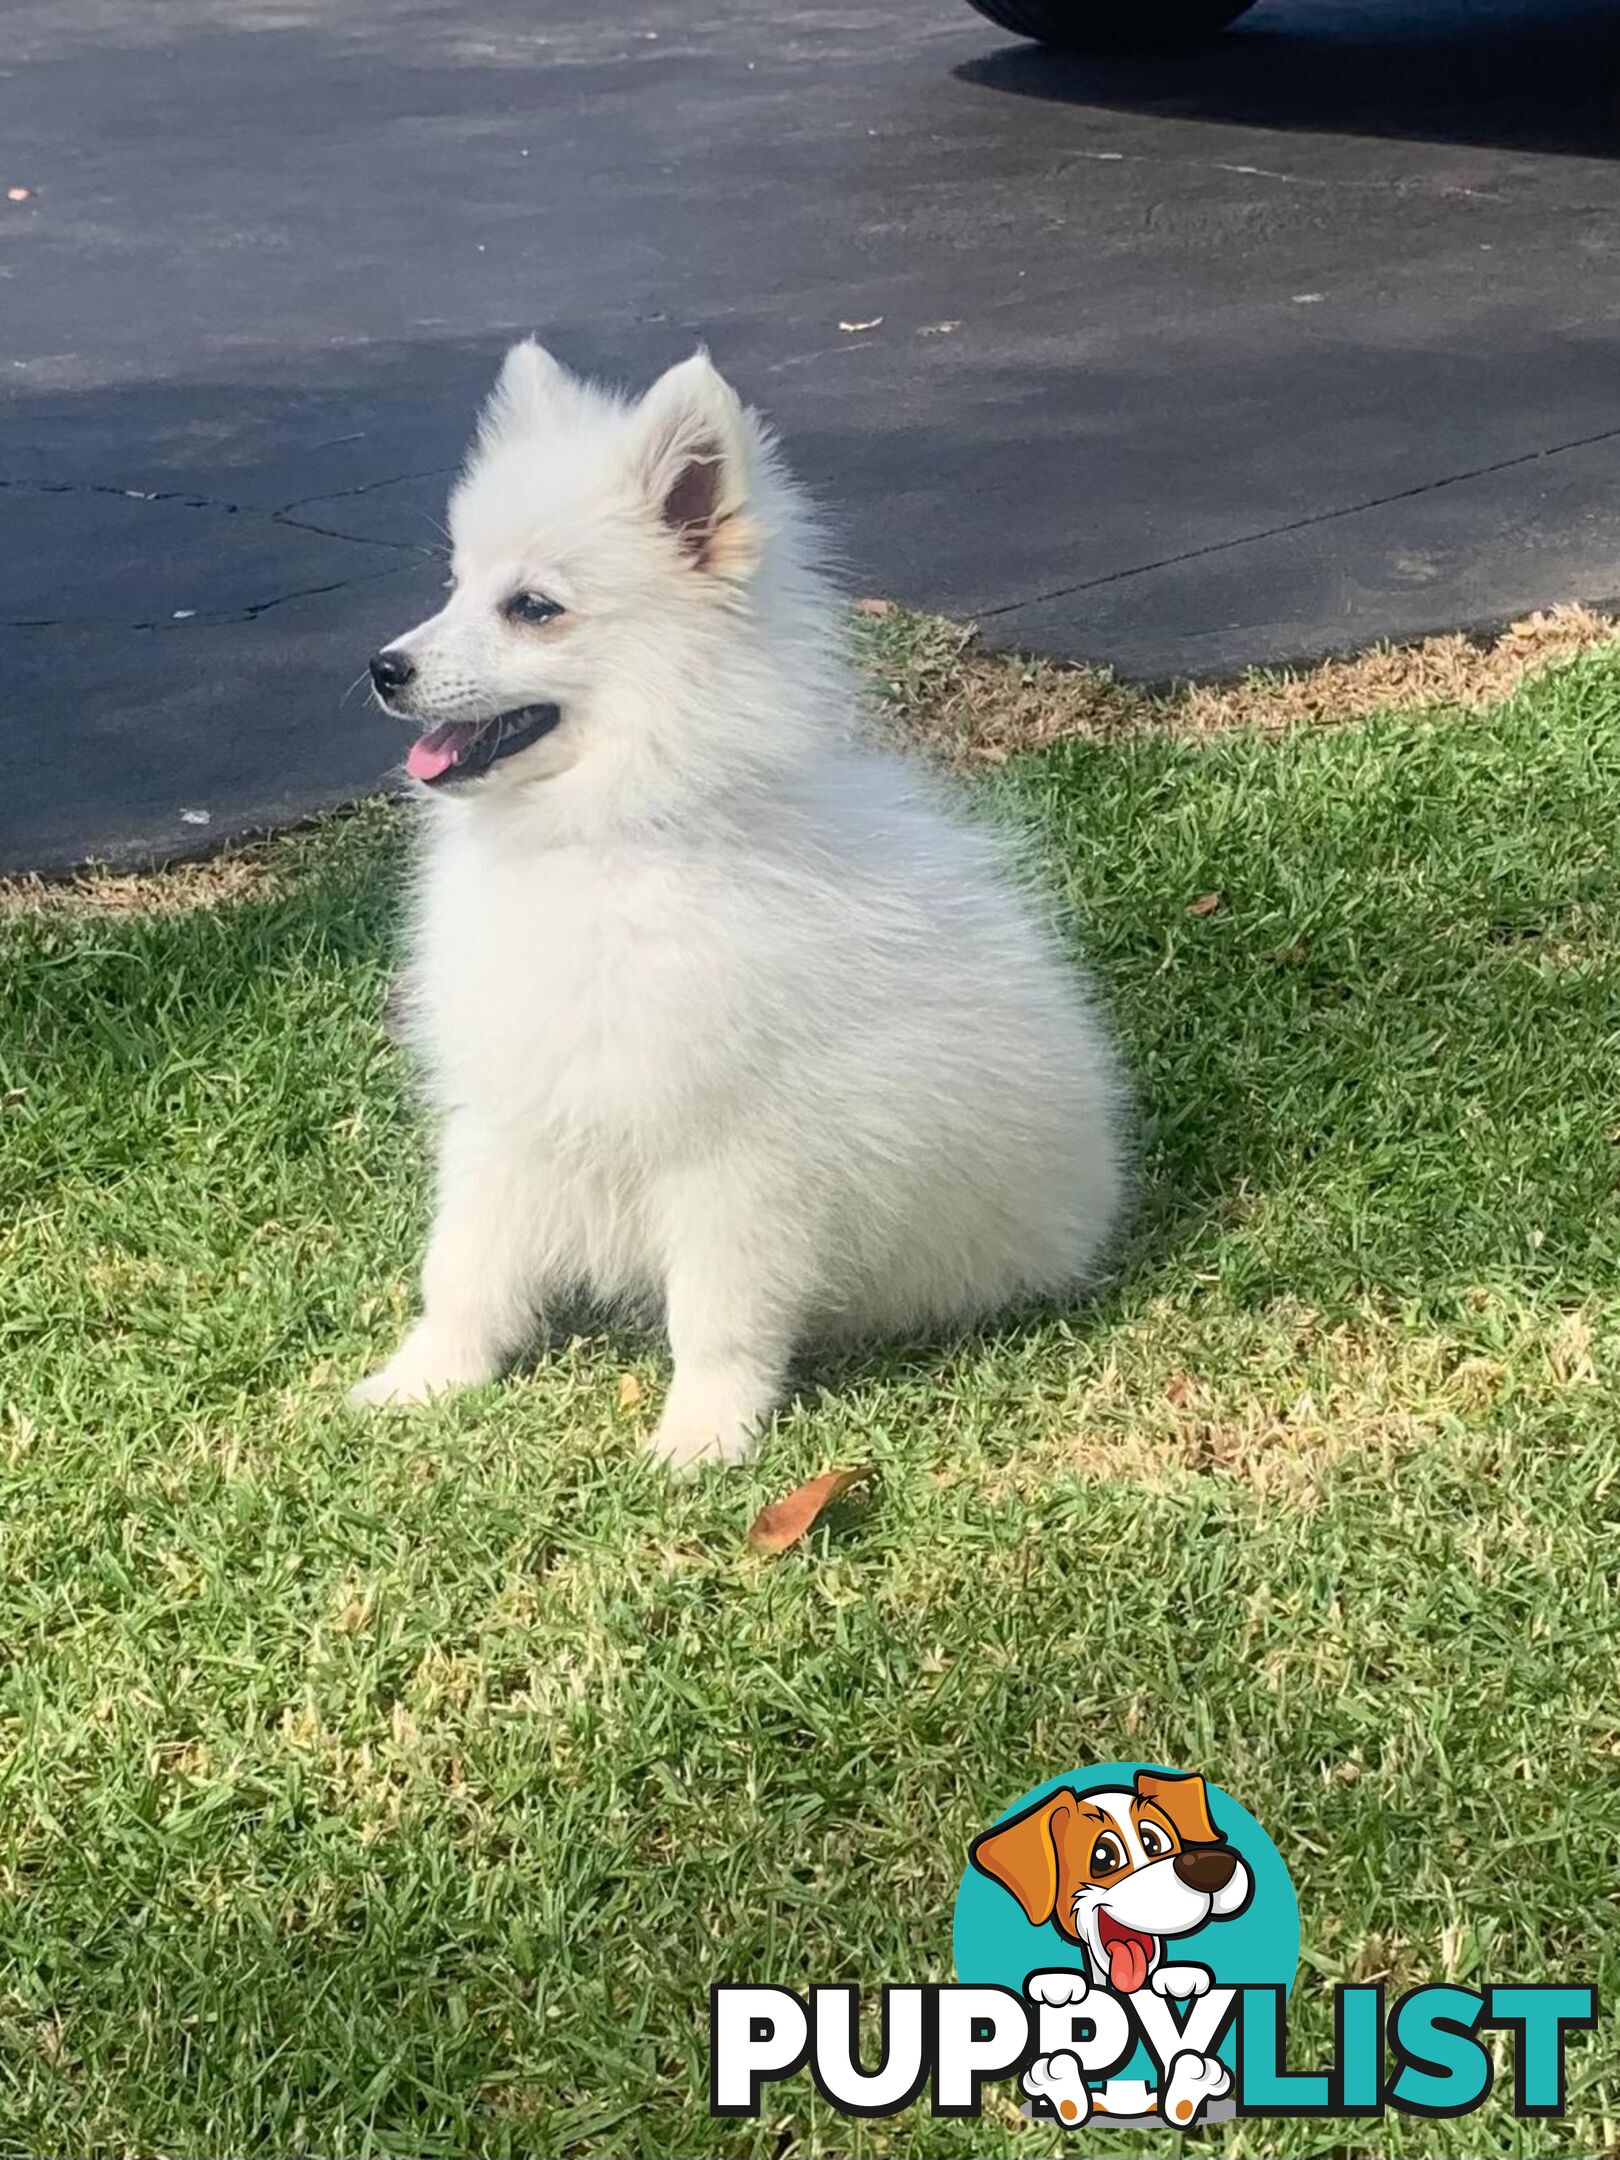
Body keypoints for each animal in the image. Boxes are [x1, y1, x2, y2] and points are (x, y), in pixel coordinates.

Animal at [347, 345, 1123, 1468]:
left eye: (532, 607)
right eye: (455, 585)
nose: (384, 668)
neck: (605, 835)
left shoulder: (736, 1158)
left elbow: (715, 1316)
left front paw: (701, 1440)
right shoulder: (508, 1110)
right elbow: (464, 1268)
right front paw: (422, 1384)